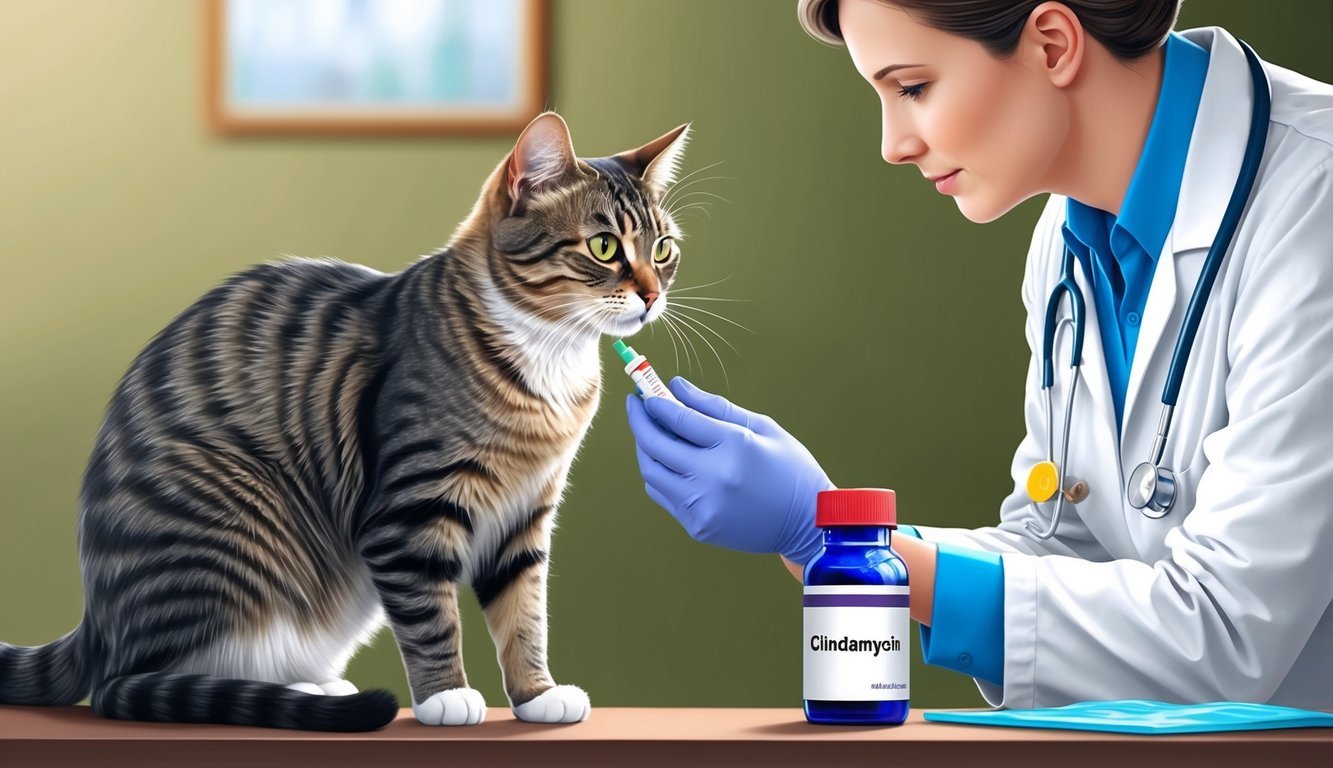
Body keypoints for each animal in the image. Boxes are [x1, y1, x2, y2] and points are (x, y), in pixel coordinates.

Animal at [0, 110, 687, 730]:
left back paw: (314, 686)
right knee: (139, 685)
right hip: (232, 528)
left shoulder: (527, 512)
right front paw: (445, 697)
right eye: (604, 246)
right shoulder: (408, 512)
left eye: (663, 249)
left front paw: (537, 695)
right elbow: (432, 616)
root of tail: (96, 627)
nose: (653, 295)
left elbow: (525, 615)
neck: (550, 356)